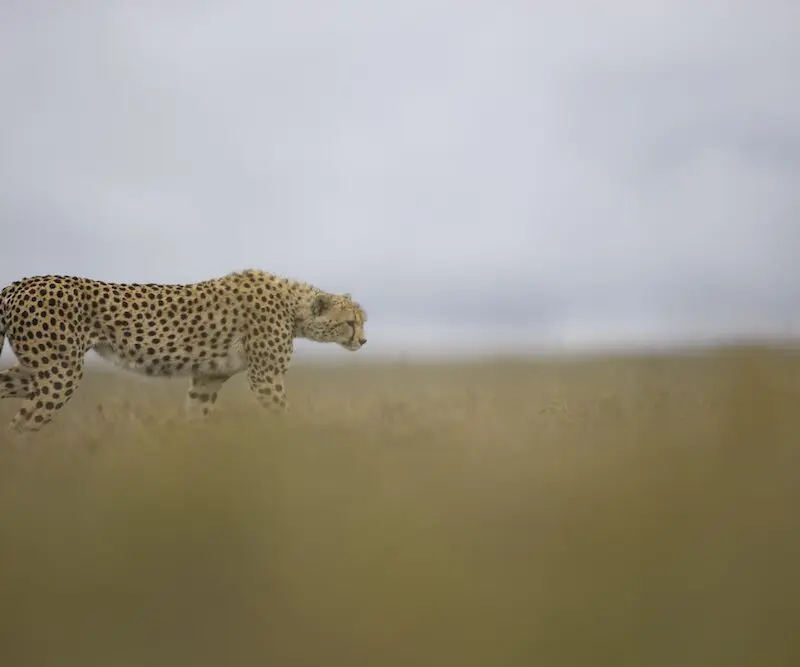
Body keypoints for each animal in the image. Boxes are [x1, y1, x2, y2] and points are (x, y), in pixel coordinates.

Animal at [0, 269, 367, 432]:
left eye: (362, 321)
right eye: (351, 322)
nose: (363, 341)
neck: (294, 307)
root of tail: (18, 284)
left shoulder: (208, 378)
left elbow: (196, 416)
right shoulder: (266, 377)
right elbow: (283, 415)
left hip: (39, 371)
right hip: (59, 374)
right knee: (22, 424)